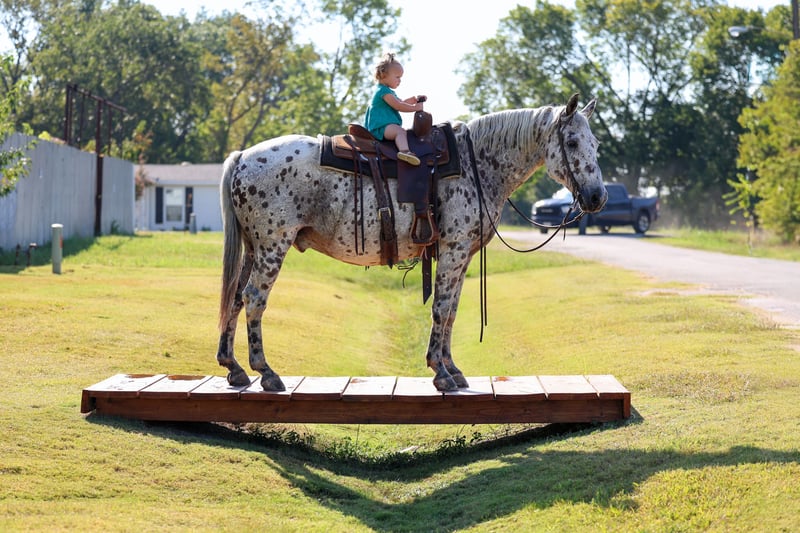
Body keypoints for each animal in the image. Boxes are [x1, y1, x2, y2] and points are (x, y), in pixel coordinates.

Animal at [216, 94, 606, 392]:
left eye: (596, 144)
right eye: (572, 142)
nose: (597, 196)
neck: (477, 164)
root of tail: (242, 157)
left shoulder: (461, 255)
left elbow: (452, 311)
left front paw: (453, 369)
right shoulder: (453, 249)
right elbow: (441, 309)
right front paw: (441, 372)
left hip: (253, 248)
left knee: (236, 296)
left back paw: (234, 367)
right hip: (272, 246)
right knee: (254, 298)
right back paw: (266, 372)